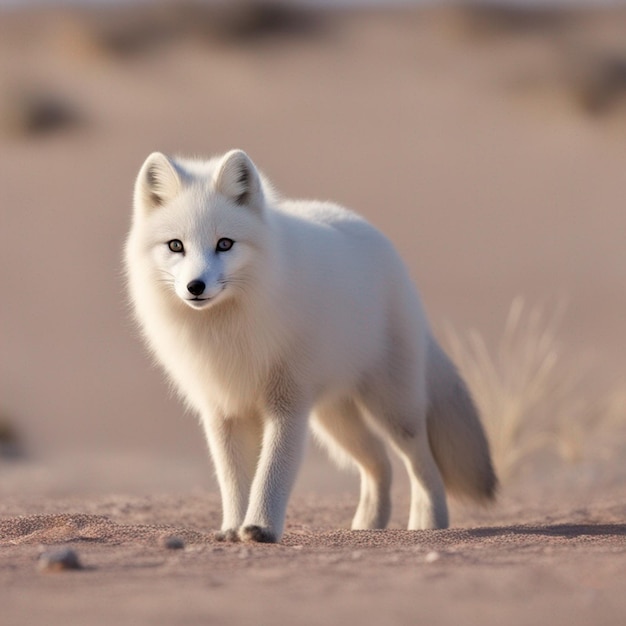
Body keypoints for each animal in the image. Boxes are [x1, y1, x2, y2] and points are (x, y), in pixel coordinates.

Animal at [125, 147, 498, 540]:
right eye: (176, 246)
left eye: (224, 244)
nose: (195, 286)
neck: (225, 329)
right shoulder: (224, 409)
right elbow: (233, 480)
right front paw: (232, 528)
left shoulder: (288, 404)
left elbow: (272, 473)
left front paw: (259, 527)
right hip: (333, 419)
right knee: (380, 464)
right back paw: (368, 526)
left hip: (392, 408)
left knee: (422, 462)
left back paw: (428, 524)